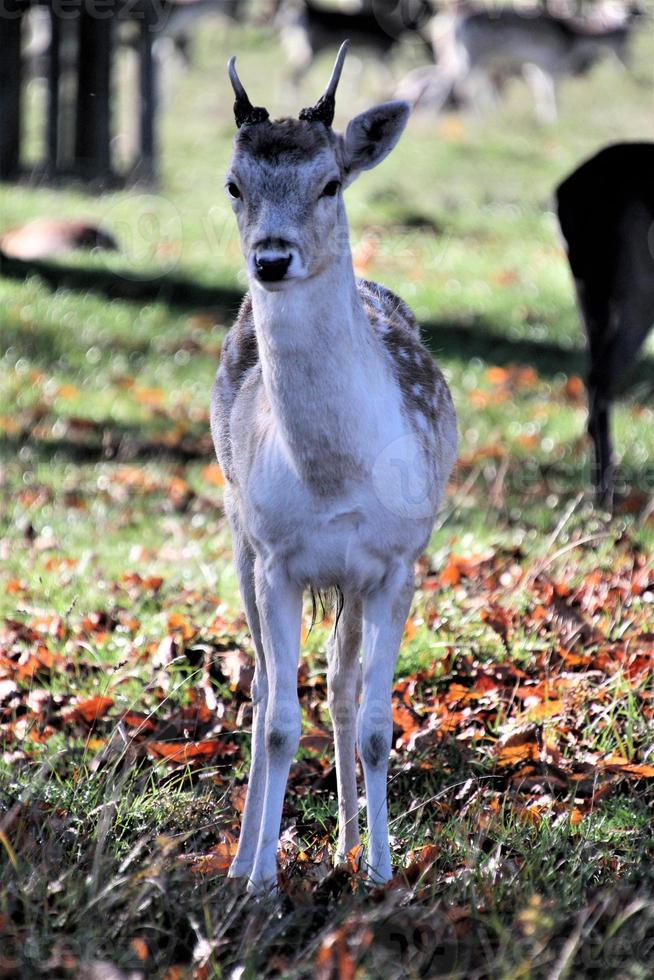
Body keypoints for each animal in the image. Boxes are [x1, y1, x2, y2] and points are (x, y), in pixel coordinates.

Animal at [213, 42, 458, 892]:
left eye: (330, 183)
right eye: (234, 184)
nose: (271, 258)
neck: (332, 479)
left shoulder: (396, 560)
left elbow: (380, 723)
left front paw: (383, 873)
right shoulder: (278, 559)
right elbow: (278, 723)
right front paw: (261, 880)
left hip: (349, 578)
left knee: (341, 681)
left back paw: (350, 845)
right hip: (238, 532)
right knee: (265, 689)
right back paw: (244, 858)